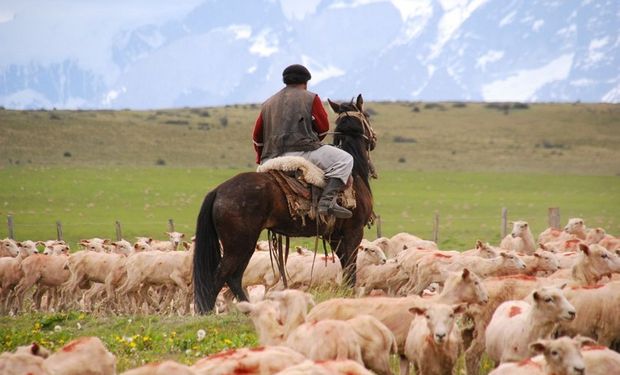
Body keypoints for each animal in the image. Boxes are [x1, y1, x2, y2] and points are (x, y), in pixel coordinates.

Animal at [194, 94, 376, 314]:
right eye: (367, 116)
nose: (374, 140)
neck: (355, 173)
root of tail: (218, 190)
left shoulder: (335, 236)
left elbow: (345, 268)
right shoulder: (354, 232)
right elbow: (351, 269)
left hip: (244, 245)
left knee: (233, 277)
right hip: (238, 244)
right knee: (220, 276)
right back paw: (208, 312)